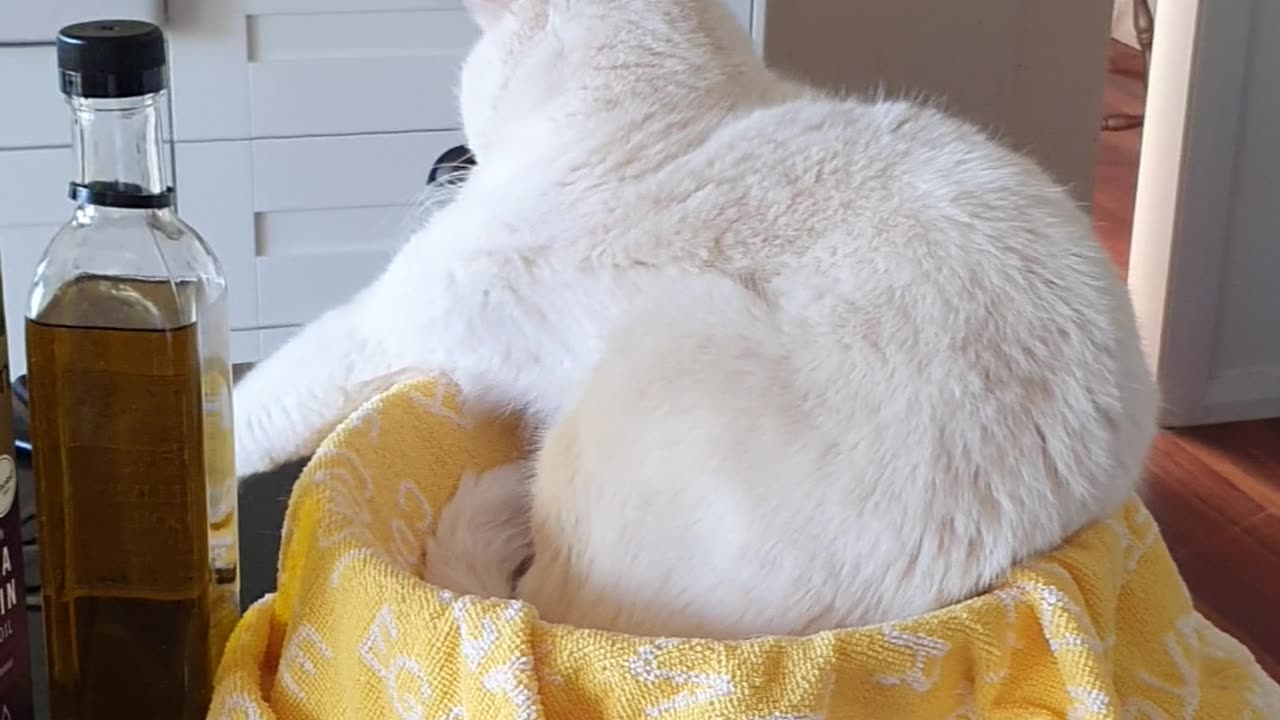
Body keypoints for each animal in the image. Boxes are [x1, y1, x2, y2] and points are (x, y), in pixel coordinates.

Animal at [232, 0, 1162, 638]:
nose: (448, 159)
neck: (651, 113)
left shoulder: (390, 318)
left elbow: (256, 404)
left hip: (649, 352)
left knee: (535, 595)